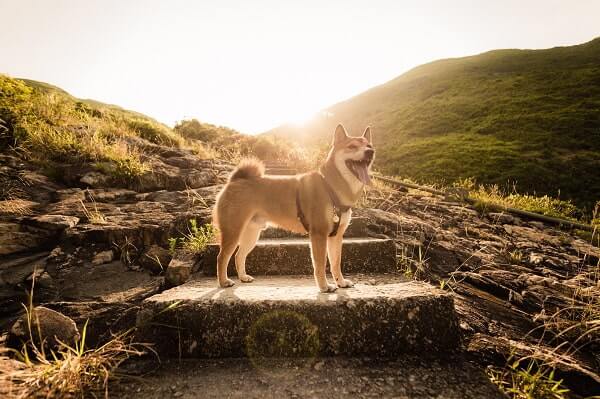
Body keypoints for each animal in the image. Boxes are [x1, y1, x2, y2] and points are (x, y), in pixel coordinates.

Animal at [212, 125, 376, 294]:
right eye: (352, 146)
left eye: (369, 146)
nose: (370, 152)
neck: (330, 186)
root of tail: (234, 180)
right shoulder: (319, 234)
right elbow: (320, 265)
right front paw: (324, 287)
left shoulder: (336, 236)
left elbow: (336, 263)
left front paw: (341, 282)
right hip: (233, 232)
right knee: (222, 257)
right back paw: (224, 281)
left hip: (251, 234)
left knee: (239, 255)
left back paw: (243, 277)